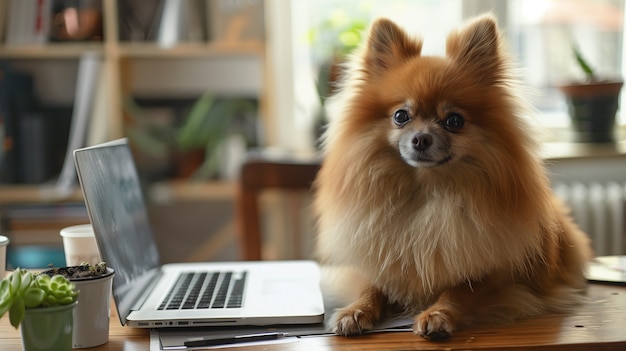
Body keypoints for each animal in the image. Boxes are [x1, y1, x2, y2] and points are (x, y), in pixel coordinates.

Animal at [312, 14, 588, 340]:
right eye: (401, 116)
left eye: (454, 121)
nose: (421, 138)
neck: (428, 194)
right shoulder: (378, 262)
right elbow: (373, 286)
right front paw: (356, 310)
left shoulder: (500, 276)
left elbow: (463, 290)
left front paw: (437, 314)